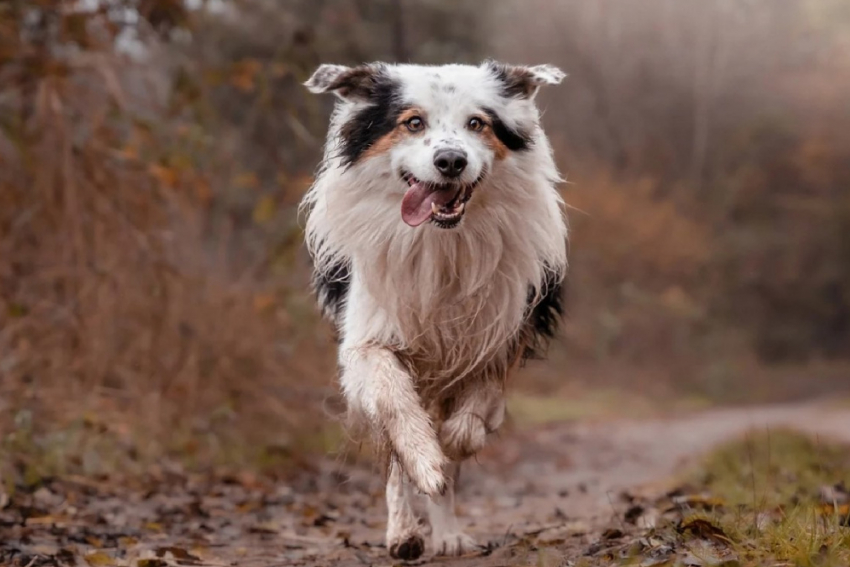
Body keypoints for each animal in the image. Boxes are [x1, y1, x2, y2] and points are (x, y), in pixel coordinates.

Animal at [302, 61, 568, 560]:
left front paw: (447, 454)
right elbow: (397, 410)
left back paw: (446, 534)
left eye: (477, 123)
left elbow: (469, 425)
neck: (441, 243)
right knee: (394, 454)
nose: (450, 161)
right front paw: (425, 461)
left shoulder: (499, 337)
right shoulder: (367, 342)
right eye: (413, 123)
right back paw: (404, 532)